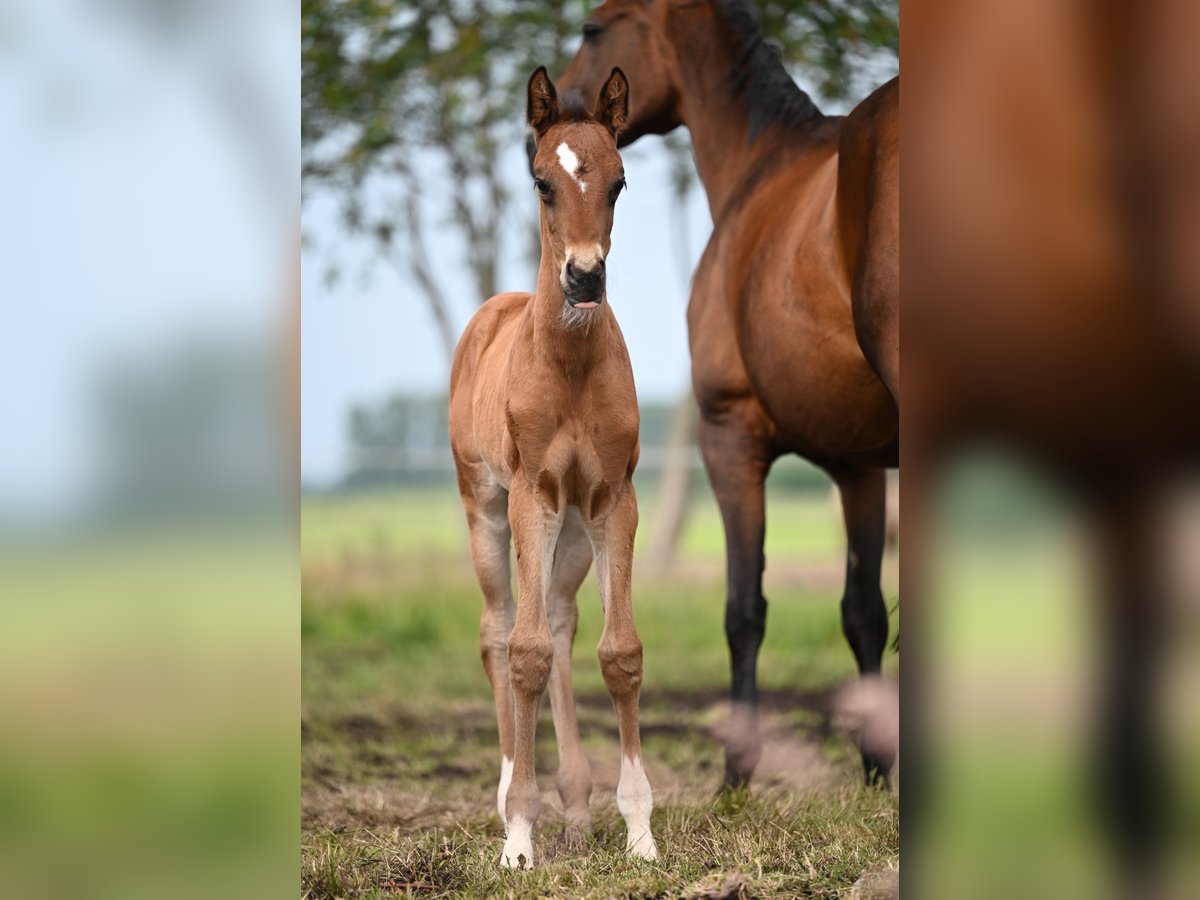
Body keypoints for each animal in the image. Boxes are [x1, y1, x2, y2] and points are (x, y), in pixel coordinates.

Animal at [448, 66, 657, 868]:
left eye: (620, 181)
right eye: (542, 182)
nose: (585, 277)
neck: (567, 365)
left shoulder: (613, 499)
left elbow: (618, 651)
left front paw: (640, 831)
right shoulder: (530, 495)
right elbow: (525, 653)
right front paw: (518, 838)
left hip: (570, 529)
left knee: (564, 624)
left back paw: (573, 804)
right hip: (484, 506)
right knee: (500, 629)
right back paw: (514, 791)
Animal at [556, 1, 897, 787]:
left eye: (594, 27)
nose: (557, 118)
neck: (761, 167)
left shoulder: (729, 436)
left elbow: (744, 608)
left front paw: (737, 775)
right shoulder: (859, 466)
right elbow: (864, 611)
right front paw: (874, 770)